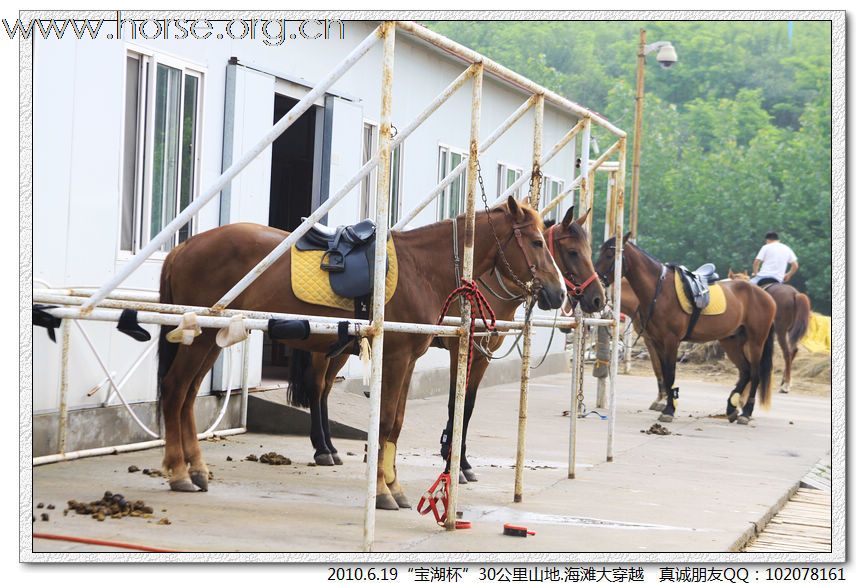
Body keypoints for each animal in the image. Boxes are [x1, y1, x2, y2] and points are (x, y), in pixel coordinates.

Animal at [159, 197, 568, 512]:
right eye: (536, 242)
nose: (559, 292)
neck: (422, 268)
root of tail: (184, 248)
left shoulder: (410, 360)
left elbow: (397, 424)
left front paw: (395, 487)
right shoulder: (398, 357)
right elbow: (386, 423)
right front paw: (383, 491)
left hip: (211, 338)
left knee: (188, 396)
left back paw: (196, 469)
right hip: (204, 339)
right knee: (177, 390)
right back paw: (179, 471)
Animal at [436, 208, 604, 482]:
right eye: (573, 252)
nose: (599, 299)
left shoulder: (484, 355)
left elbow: (468, 405)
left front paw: (462, 463)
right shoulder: (459, 349)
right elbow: (455, 403)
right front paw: (451, 463)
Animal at [592, 235, 776, 426]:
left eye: (610, 254)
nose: (597, 279)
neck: (659, 291)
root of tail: (766, 295)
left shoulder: (671, 341)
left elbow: (670, 374)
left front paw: (669, 410)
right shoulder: (657, 342)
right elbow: (663, 372)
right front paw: (667, 404)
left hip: (756, 342)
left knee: (754, 374)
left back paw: (746, 412)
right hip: (731, 342)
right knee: (745, 371)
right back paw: (731, 409)